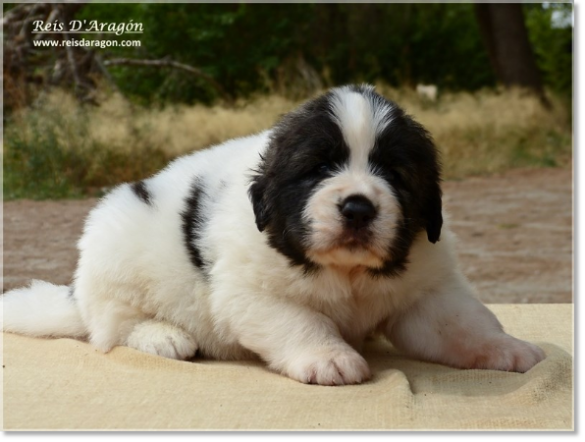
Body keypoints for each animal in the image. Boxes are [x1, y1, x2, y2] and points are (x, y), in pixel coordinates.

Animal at [2, 84, 544, 386]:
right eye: (319, 168)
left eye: (393, 173)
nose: (358, 207)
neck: (347, 273)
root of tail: (77, 294)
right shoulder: (248, 291)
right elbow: (298, 320)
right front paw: (329, 358)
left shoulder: (427, 286)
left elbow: (459, 322)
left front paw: (506, 347)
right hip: (115, 249)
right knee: (112, 328)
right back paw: (164, 336)